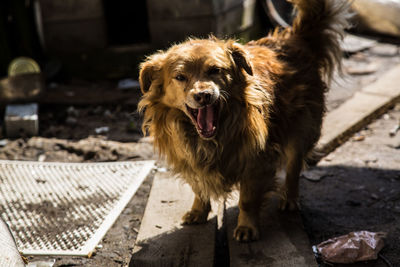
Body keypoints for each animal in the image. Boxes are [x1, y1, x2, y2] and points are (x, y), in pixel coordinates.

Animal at [138, 0, 350, 243]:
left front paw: (247, 226)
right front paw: (198, 211)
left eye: (215, 70)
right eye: (180, 77)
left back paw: (289, 198)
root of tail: (293, 39)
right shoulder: (190, 160)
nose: (203, 95)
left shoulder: (256, 161)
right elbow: (199, 187)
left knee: (294, 167)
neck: (214, 136)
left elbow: (247, 200)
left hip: (302, 128)